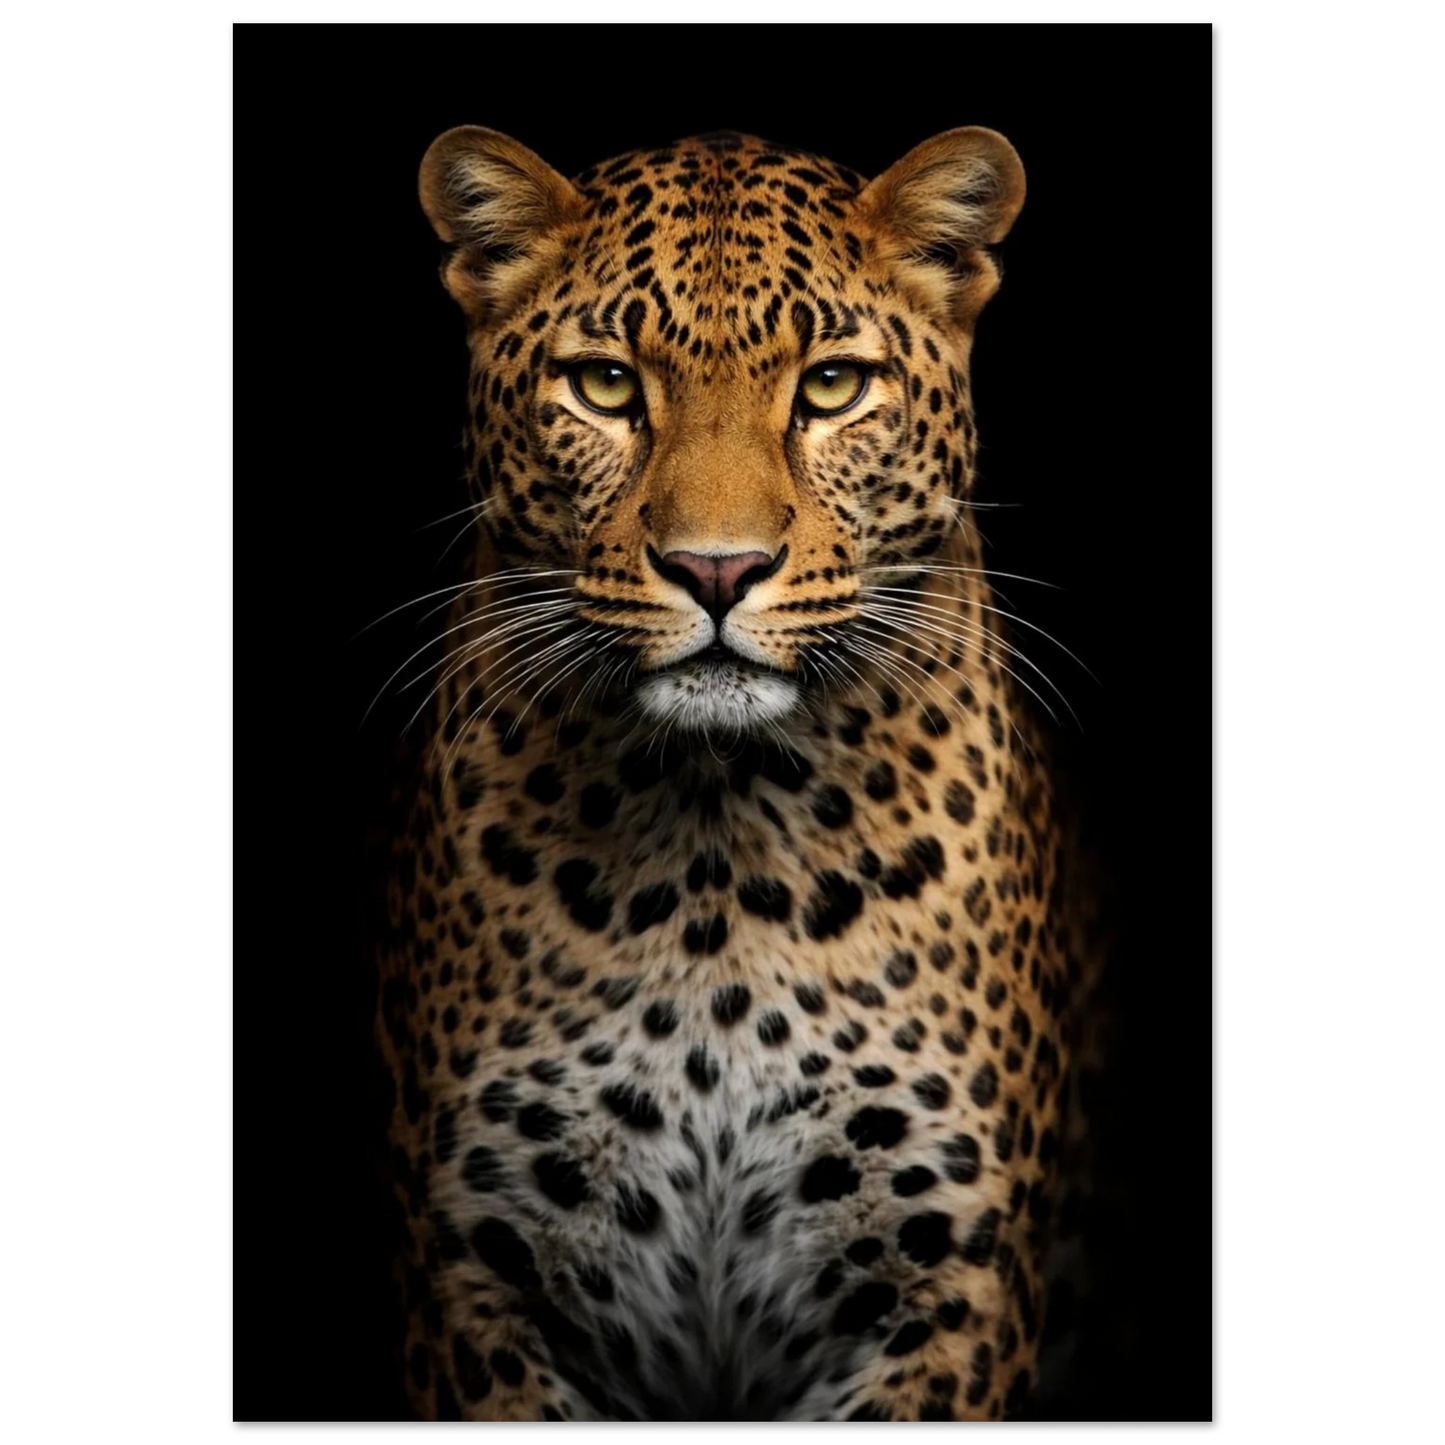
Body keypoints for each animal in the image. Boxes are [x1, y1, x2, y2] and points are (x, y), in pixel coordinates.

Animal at [374, 123, 1108, 1422]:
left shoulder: (940, 1286)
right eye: (605, 384)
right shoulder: (479, 1279)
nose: (716, 570)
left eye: (830, 386)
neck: (714, 849)